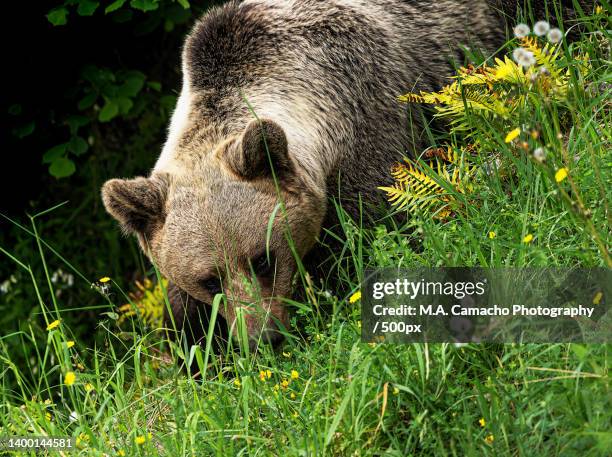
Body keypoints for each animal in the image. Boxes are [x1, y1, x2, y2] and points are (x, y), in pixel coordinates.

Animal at [103, 1, 592, 348]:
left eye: (263, 259)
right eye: (209, 279)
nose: (263, 338)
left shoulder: (373, 133)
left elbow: (373, 242)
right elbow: (185, 318)